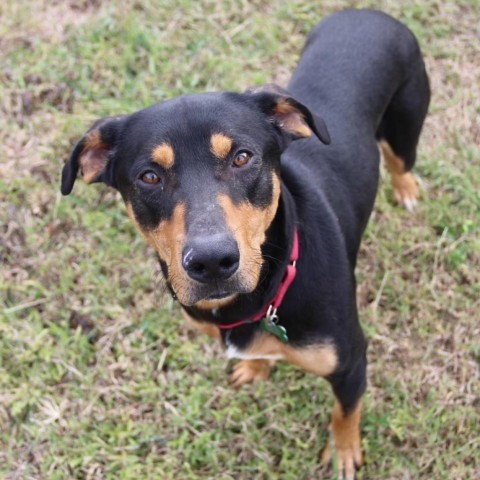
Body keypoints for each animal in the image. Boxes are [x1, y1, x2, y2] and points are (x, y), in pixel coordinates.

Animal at [61, 8, 432, 480]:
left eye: (242, 157)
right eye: (149, 176)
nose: (211, 261)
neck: (269, 286)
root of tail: (367, 11)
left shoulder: (351, 362)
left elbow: (344, 413)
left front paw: (344, 454)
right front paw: (254, 367)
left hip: (406, 125)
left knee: (401, 161)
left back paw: (406, 190)